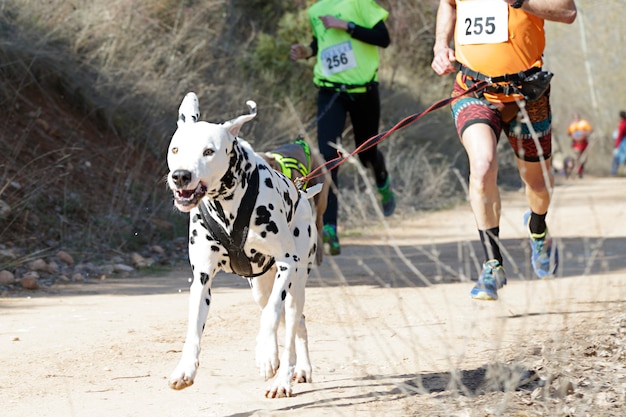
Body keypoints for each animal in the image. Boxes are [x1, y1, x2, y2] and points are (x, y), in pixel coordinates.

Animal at [166, 92, 316, 398]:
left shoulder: (286, 262)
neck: (227, 205)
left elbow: (270, 316)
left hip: (296, 282)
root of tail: (302, 192)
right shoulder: (202, 279)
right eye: (176, 149)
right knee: (292, 321)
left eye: (208, 151)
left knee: (291, 323)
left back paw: (285, 377)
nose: (181, 176)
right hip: (260, 287)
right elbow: (193, 330)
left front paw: (266, 355)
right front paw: (185, 370)